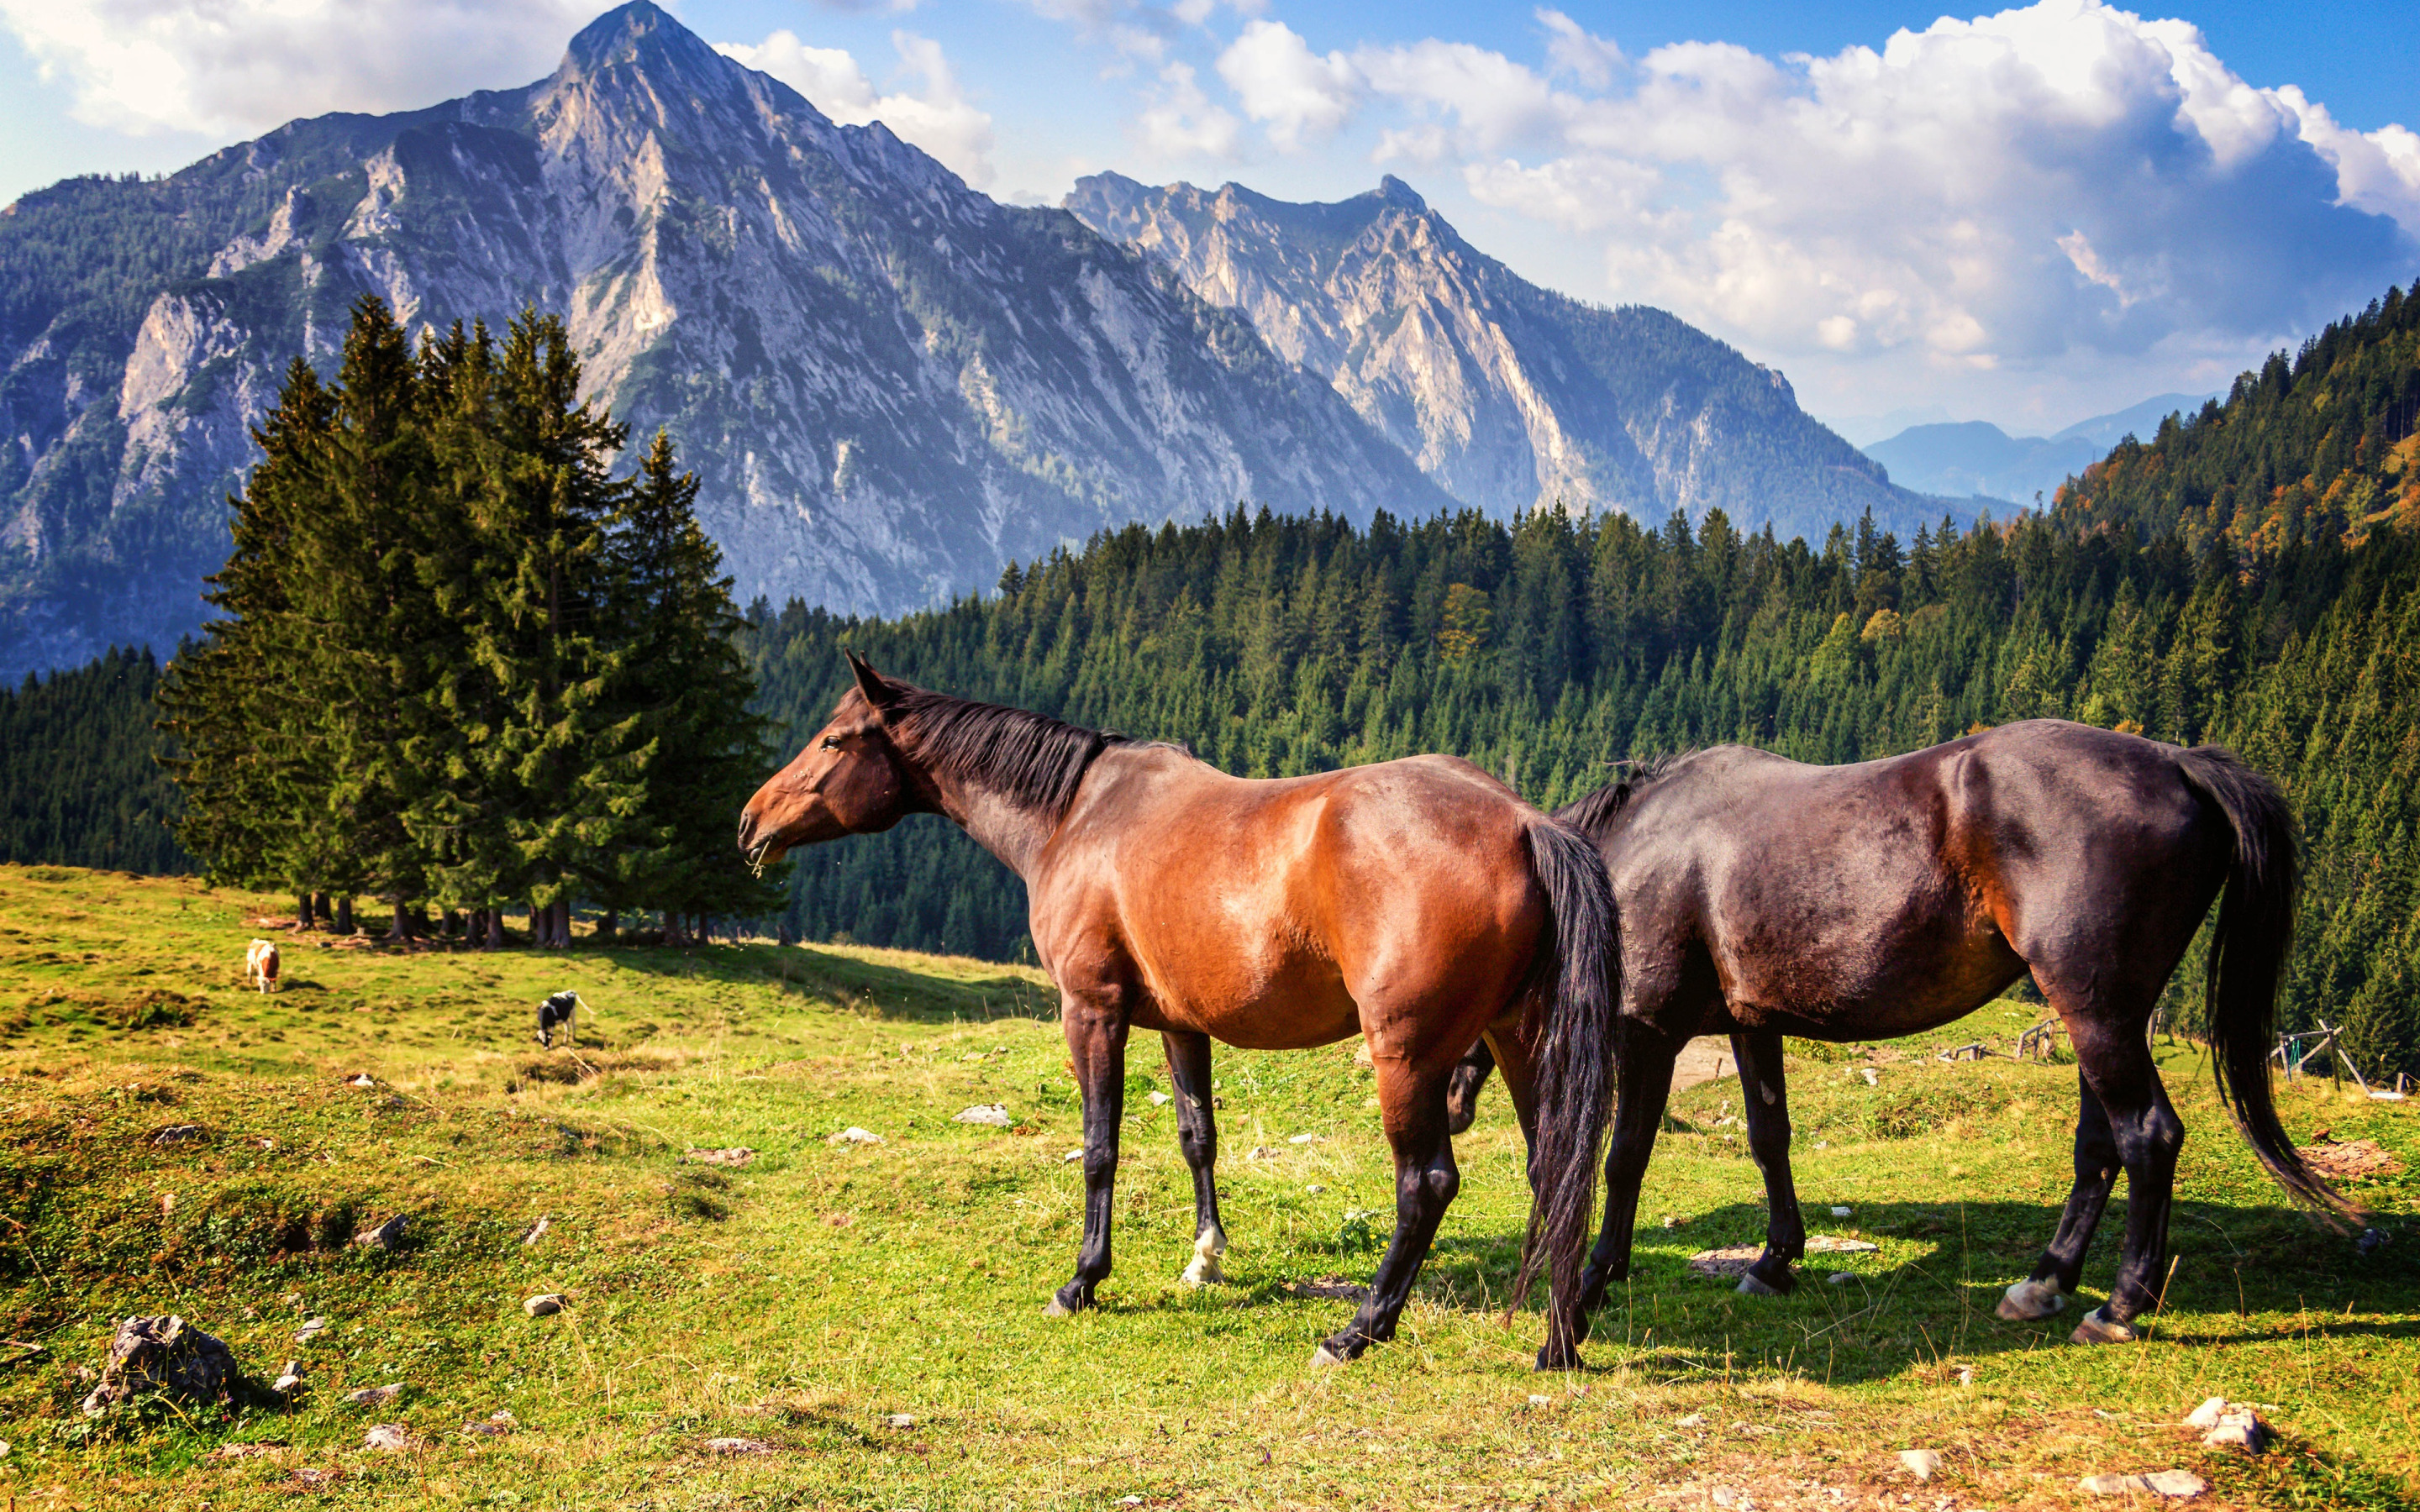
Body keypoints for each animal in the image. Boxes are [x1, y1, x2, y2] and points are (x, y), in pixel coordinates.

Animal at [726, 653, 1616, 1364]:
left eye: (834, 741)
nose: (749, 820)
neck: (1075, 816)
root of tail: (1523, 821)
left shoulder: (1091, 1011)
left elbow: (1099, 1148)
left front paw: (1083, 1280)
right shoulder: (1184, 1025)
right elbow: (1197, 1138)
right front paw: (1205, 1260)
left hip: (1408, 1057)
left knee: (1426, 1183)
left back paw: (1359, 1331)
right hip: (1521, 1040)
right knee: (1553, 1168)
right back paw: (1559, 1339)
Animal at [1442, 721, 2333, 1345]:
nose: (1447, 1106)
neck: (1634, 852)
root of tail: (2180, 763)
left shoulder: (1649, 1030)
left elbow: (1625, 1158)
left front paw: (1596, 1280)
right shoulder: (1750, 1025)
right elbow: (1770, 1137)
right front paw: (1775, 1261)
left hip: (2097, 1010)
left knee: (2148, 1134)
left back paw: (2117, 1307)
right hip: (2101, 1015)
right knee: (2101, 1146)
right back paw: (2045, 1282)